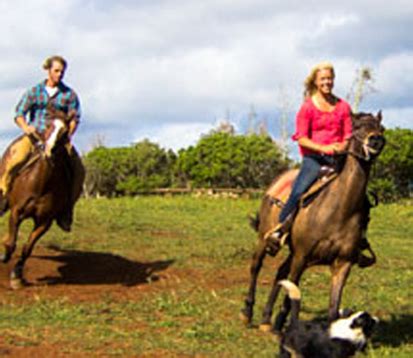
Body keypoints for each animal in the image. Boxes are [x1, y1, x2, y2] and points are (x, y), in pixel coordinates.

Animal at [0, 108, 81, 288]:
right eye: (48, 125)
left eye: (65, 131)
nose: (49, 150)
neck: (41, 184)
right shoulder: (16, 212)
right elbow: (11, 242)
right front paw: (4, 255)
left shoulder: (44, 221)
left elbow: (27, 248)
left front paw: (17, 276)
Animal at [240, 111, 384, 332]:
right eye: (357, 127)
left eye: (381, 128)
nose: (376, 139)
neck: (338, 209)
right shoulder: (302, 256)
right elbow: (292, 296)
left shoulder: (342, 263)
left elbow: (333, 307)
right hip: (265, 239)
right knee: (256, 267)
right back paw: (248, 313)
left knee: (280, 272)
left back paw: (265, 319)